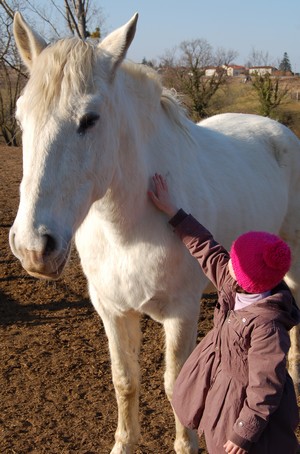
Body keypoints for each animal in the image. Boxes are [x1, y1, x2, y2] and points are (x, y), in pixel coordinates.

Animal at [9, 12, 300, 452]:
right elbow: (125, 381)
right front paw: (124, 443)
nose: (33, 247)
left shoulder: (180, 314)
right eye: (21, 117)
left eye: (90, 119)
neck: (126, 233)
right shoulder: (112, 311)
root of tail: (277, 130)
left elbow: (175, 385)